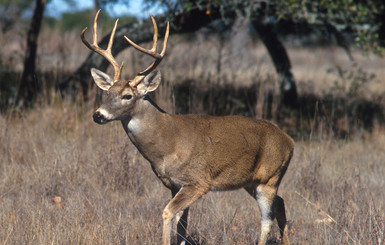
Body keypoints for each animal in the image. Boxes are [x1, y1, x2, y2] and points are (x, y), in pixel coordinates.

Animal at [80, 9, 292, 245]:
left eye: (127, 96)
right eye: (107, 93)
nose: (98, 115)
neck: (167, 143)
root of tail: (289, 141)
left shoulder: (197, 181)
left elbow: (168, 213)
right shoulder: (174, 184)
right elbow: (182, 223)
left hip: (270, 177)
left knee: (267, 218)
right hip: (251, 181)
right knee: (281, 203)